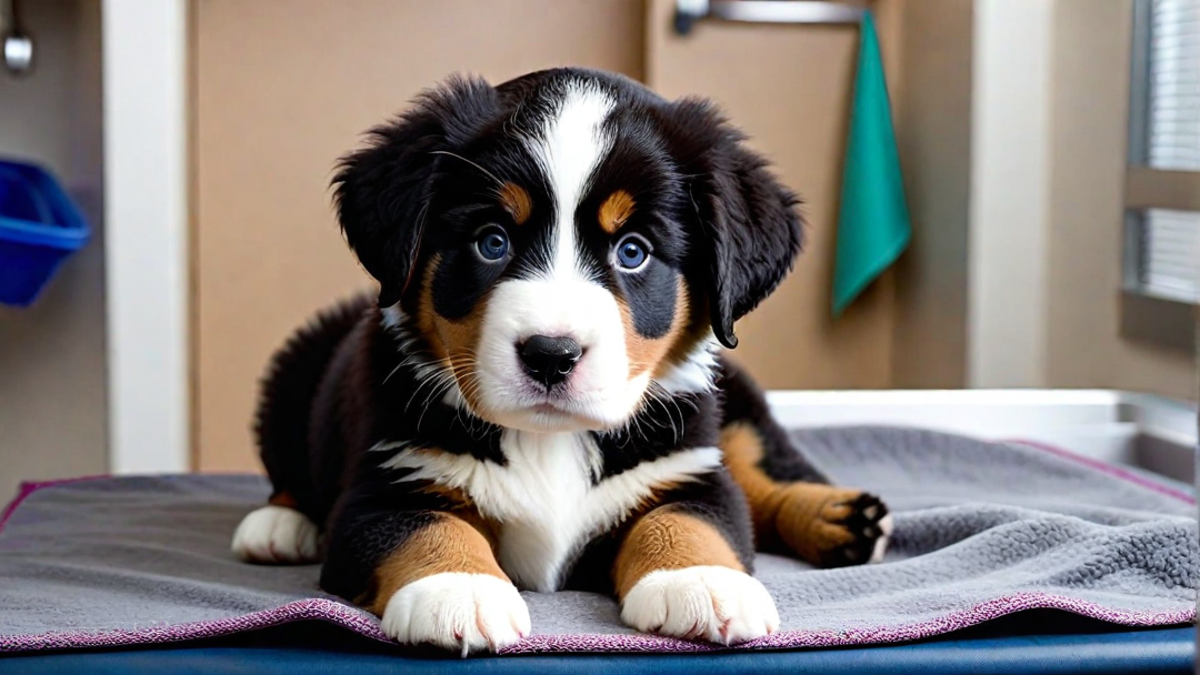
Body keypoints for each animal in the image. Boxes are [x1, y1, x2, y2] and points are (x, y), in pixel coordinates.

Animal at [231, 68, 892, 653]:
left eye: (633, 251)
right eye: (491, 241)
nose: (552, 355)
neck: (550, 440)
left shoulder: (689, 465)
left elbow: (692, 517)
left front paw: (700, 581)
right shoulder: (385, 481)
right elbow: (428, 526)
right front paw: (458, 590)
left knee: (759, 467)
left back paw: (841, 517)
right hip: (290, 378)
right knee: (288, 471)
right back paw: (279, 527)